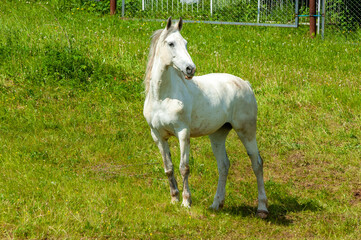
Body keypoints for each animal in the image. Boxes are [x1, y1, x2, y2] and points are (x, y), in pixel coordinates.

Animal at [143, 17, 268, 218]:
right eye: (171, 43)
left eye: (185, 42)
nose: (190, 69)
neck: (163, 97)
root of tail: (245, 84)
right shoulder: (158, 136)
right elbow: (169, 168)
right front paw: (174, 199)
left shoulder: (183, 133)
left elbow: (184, 167)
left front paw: (186, 202)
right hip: (218, 135)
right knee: (224, 165)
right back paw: (216, 204)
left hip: (246, 132)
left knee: (257, 163)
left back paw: (262, 209)